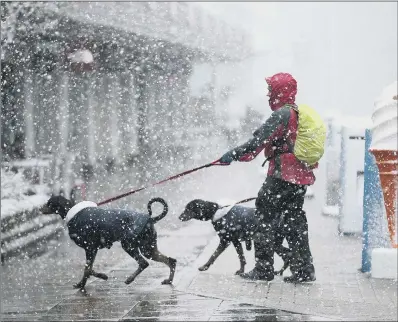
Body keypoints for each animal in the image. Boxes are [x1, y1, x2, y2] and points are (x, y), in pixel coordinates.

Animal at [41, 195, 176, 290]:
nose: (40, 208)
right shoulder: (93, 249)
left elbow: (87, 269)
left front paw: (86, 283)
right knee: (171, 260)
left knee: (144, 263)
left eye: (49, 203)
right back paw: (168, 281)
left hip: (128, 245)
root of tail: (150, 219)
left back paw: (130, 279)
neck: (74, 214)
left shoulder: (90, 248)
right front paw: (90, 280)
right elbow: (89, 268)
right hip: (148, 248)